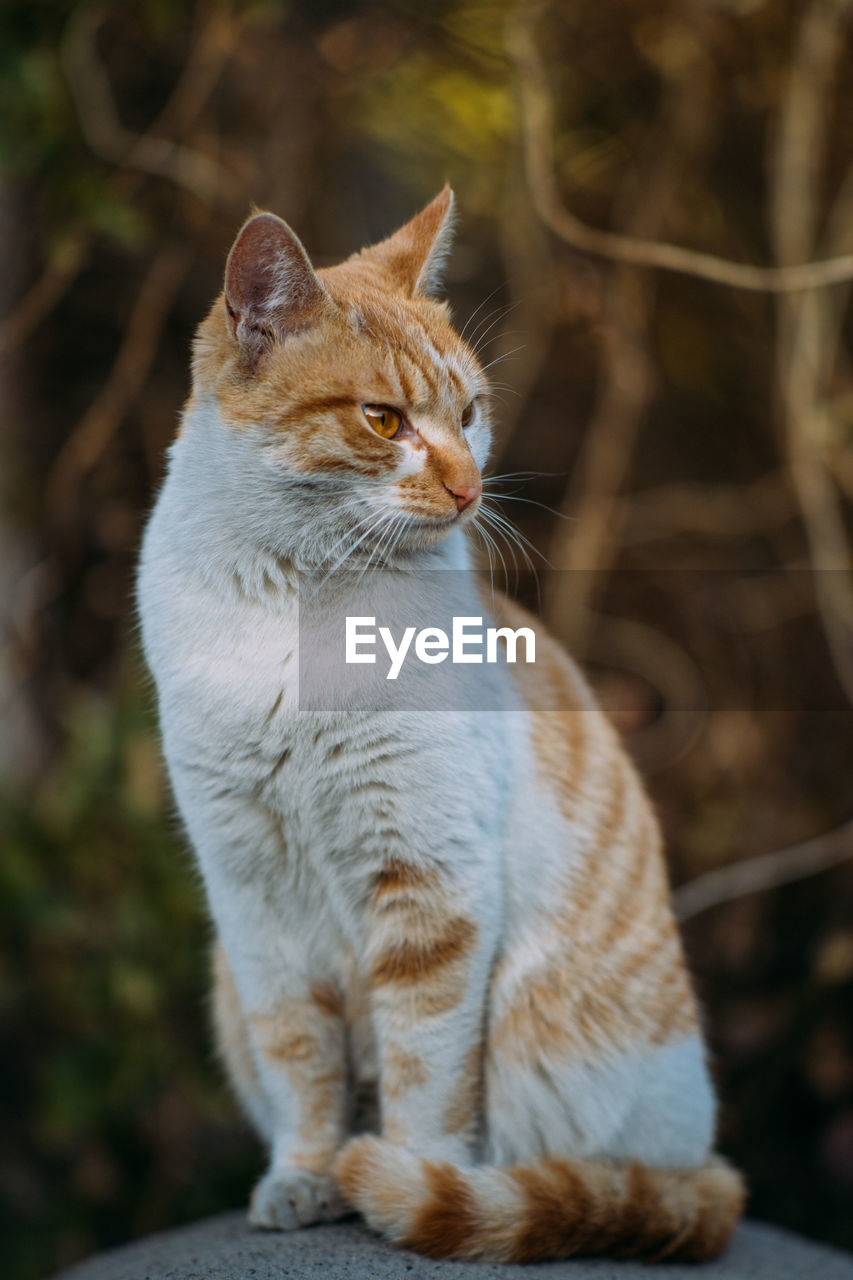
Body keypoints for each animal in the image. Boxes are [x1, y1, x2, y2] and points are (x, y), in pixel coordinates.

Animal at [136, 186, 742, 1259]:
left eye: (468, 413)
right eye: (383, 419)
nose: (469, 487)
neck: (298, 608)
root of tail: (698, 1164)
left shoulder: (430, 887)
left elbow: (424, 1073)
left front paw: (398, 1180)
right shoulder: (253, 904)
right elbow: (302, 1064)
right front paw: (306, 1176)